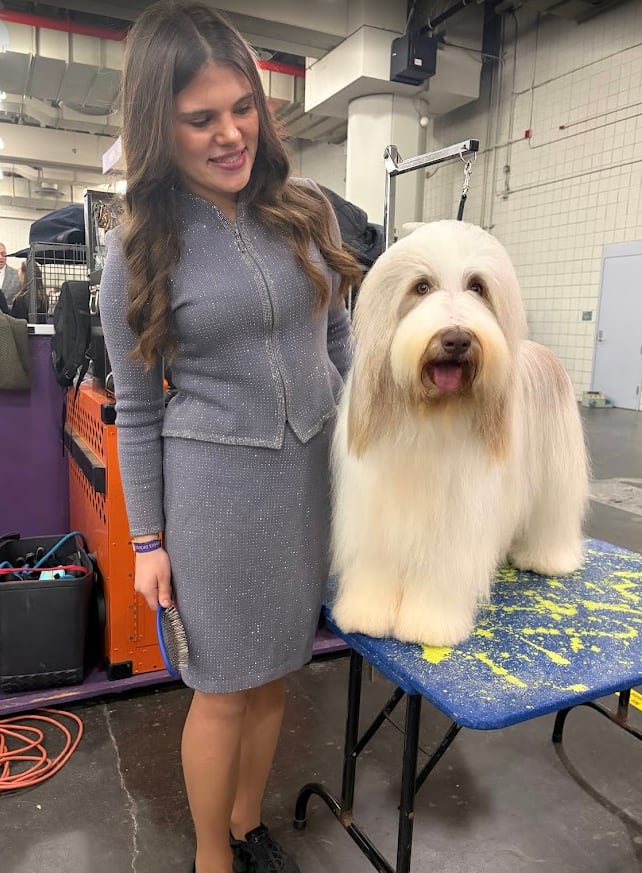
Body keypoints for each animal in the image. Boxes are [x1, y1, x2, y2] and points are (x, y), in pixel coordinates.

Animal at [330, 220, 589, 647]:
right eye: (421, 286)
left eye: (477, 286)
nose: (457, 339)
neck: (431, 412)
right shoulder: (379, 509)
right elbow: (378, 566)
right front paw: (367, 614)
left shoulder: (458, 515)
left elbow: (441, 573)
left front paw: (429, 623)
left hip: (557, 477)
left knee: (553, 517)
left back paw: (547, 559)